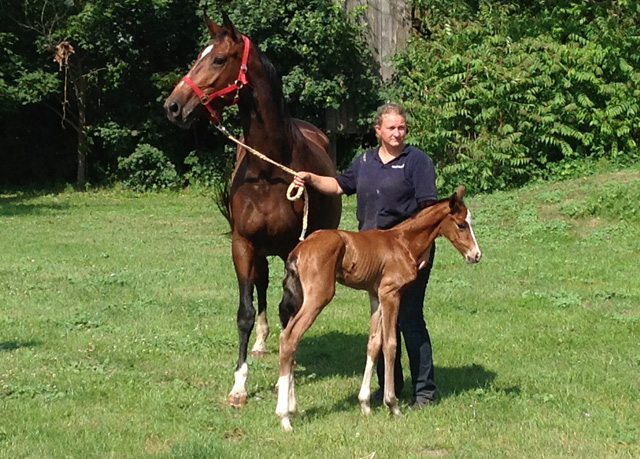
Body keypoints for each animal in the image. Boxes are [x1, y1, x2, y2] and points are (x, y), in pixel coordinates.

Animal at [164, 13, 340, 406]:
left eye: (218, 59)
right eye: (199, 55)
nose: (173, 106)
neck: (269, 172)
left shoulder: (293, 248)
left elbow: (289, 311)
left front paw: (285, 380)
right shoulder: (243, 244)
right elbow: (244, 312)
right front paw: (239, 385)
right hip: (259, 251)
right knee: (260, 285)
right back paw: (261, 344)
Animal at [276, 184, 480, 432]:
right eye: (461, 224)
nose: (476, 255)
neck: (403, 242)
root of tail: (299, 250)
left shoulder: (375, 295)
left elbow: (374, 343)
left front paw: (365, 404)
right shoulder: (390, 293)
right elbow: (390, 344)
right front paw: (393, 405)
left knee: (292, 342)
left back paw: (292, 407)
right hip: (318, 297)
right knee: (289, 338)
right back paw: (284, 416)